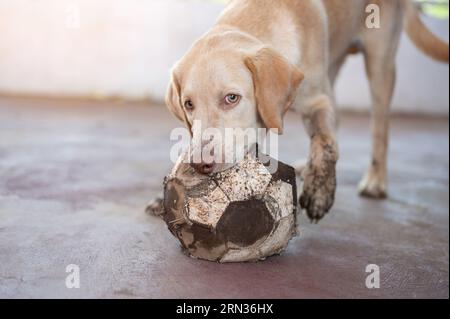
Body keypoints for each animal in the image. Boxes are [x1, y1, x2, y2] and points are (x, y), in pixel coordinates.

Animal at [149, 0, 448, 222]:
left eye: (231, 98)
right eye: (188, 104)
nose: (201, 165)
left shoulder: (318, 101)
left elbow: (327, 144)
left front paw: (320, 193)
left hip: (379, 62)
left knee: (378, 128)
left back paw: (375, 181)